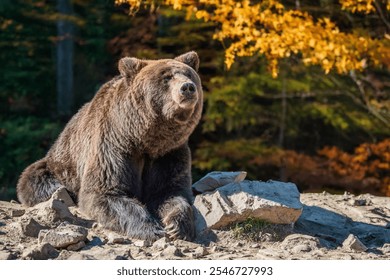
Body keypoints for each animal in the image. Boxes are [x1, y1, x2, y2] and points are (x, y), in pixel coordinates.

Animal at [16, 51, 203, 242]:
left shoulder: (169, 152)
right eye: (166, 77)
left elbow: (170, 191)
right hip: (61, 165)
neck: (145, 138)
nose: (187, 87)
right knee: (37, 179)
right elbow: (105, 192)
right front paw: (152, 229)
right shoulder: (113, 146)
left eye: (189, 75)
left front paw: (177, 227)